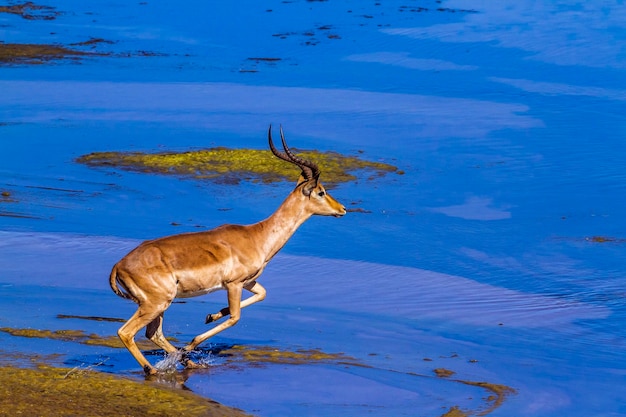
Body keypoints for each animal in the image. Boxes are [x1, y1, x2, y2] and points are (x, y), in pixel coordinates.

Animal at [111, 124, 346, 374]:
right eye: (321, 191)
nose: (342, 209)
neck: (257, 236)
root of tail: (118, 266)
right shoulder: (234, 284)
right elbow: (235, 317)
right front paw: (193, 342)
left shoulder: (248, 282)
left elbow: (262, 294)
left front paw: (210, 315)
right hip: (156, 303)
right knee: (126, 332)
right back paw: (156, 369)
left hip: (160, 304)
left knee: (153, 333)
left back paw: (188, 361)